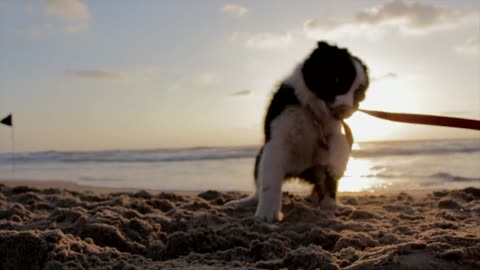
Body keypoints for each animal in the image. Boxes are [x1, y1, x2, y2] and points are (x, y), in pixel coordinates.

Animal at [227, 40, 370, 221]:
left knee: (327, 186)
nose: (345, 110)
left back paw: (333, 206)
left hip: (318, 169)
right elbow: (269, 181)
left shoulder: (334, 129)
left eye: (359, 93)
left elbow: (341, 140)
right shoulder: (277, 140)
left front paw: (337, 166)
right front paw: (266, 214)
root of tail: (298, 172)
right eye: (337, 79)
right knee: (259, 187)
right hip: (261, 157)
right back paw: (244, 202)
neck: (311, 111)